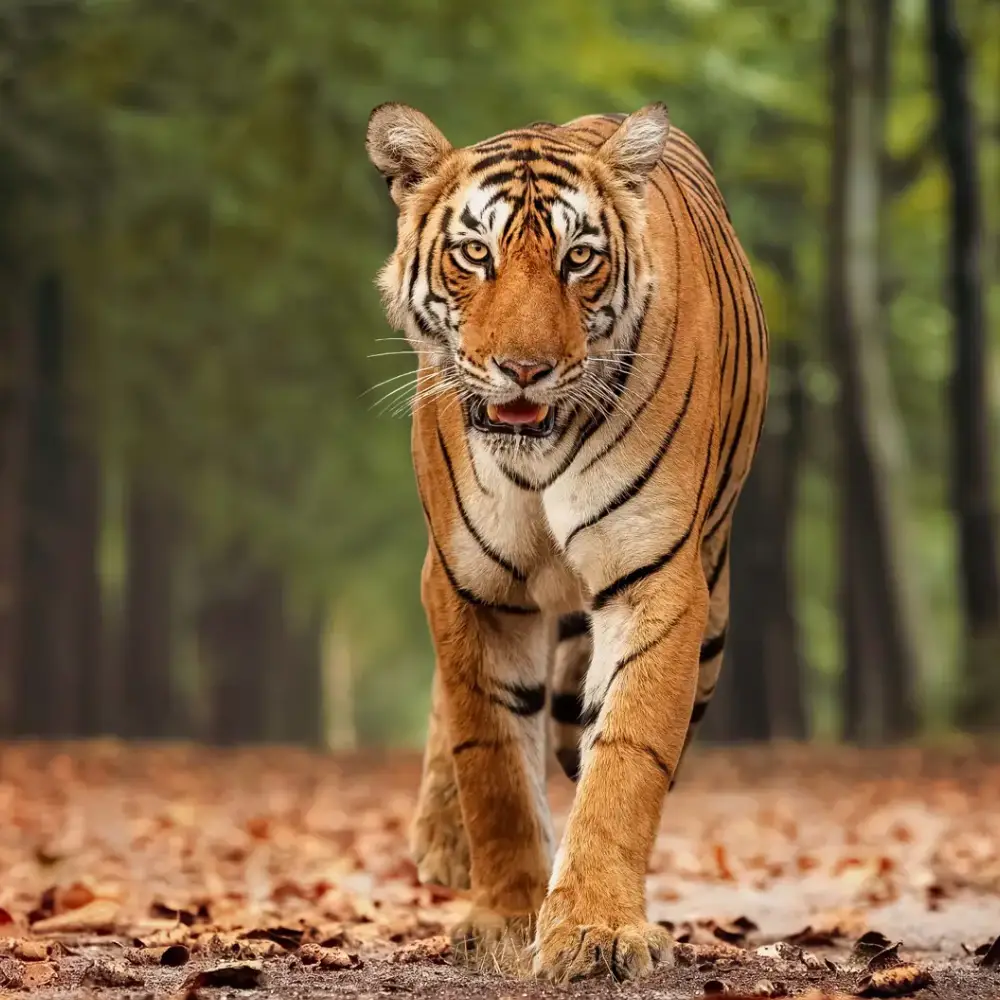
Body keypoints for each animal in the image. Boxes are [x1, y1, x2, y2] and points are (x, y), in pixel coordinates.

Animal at [365, 101, 768, 983]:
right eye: (474, 254)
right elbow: (491, 760)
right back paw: (442, 844)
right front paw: (507, 917)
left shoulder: (655, 577)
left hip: (713, 624)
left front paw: (596, 928)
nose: (525, 369)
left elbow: (625, 756)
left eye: (578, 258)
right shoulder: (468, 584)